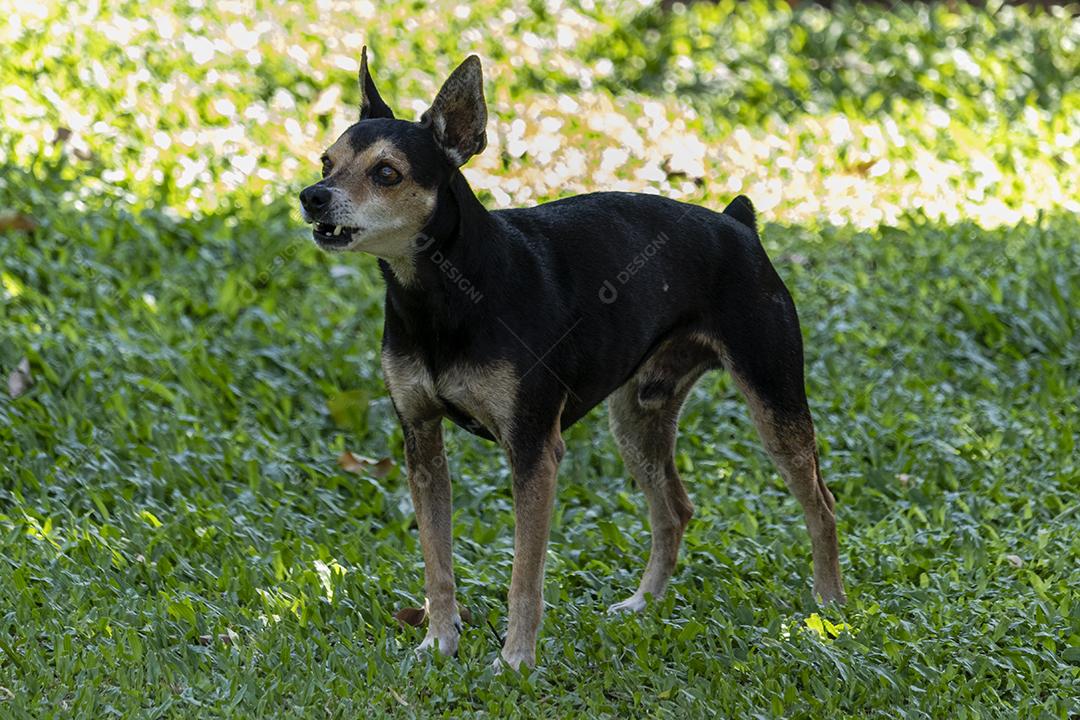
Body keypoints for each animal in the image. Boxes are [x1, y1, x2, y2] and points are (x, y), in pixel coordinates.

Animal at [300, 49, 846, 669]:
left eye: (387, 173)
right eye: (326, 161)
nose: (313, 195)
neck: (444, 296)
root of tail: (738, 223)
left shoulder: (534, 450)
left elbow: (525, 576)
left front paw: (515, 660)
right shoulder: (422, 442)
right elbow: (437, 565)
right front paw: (438, 643)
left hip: (775, 406)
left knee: (822, 505)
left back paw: (828, 610)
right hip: (636, 421)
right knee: (675, 511)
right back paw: (642, 605)